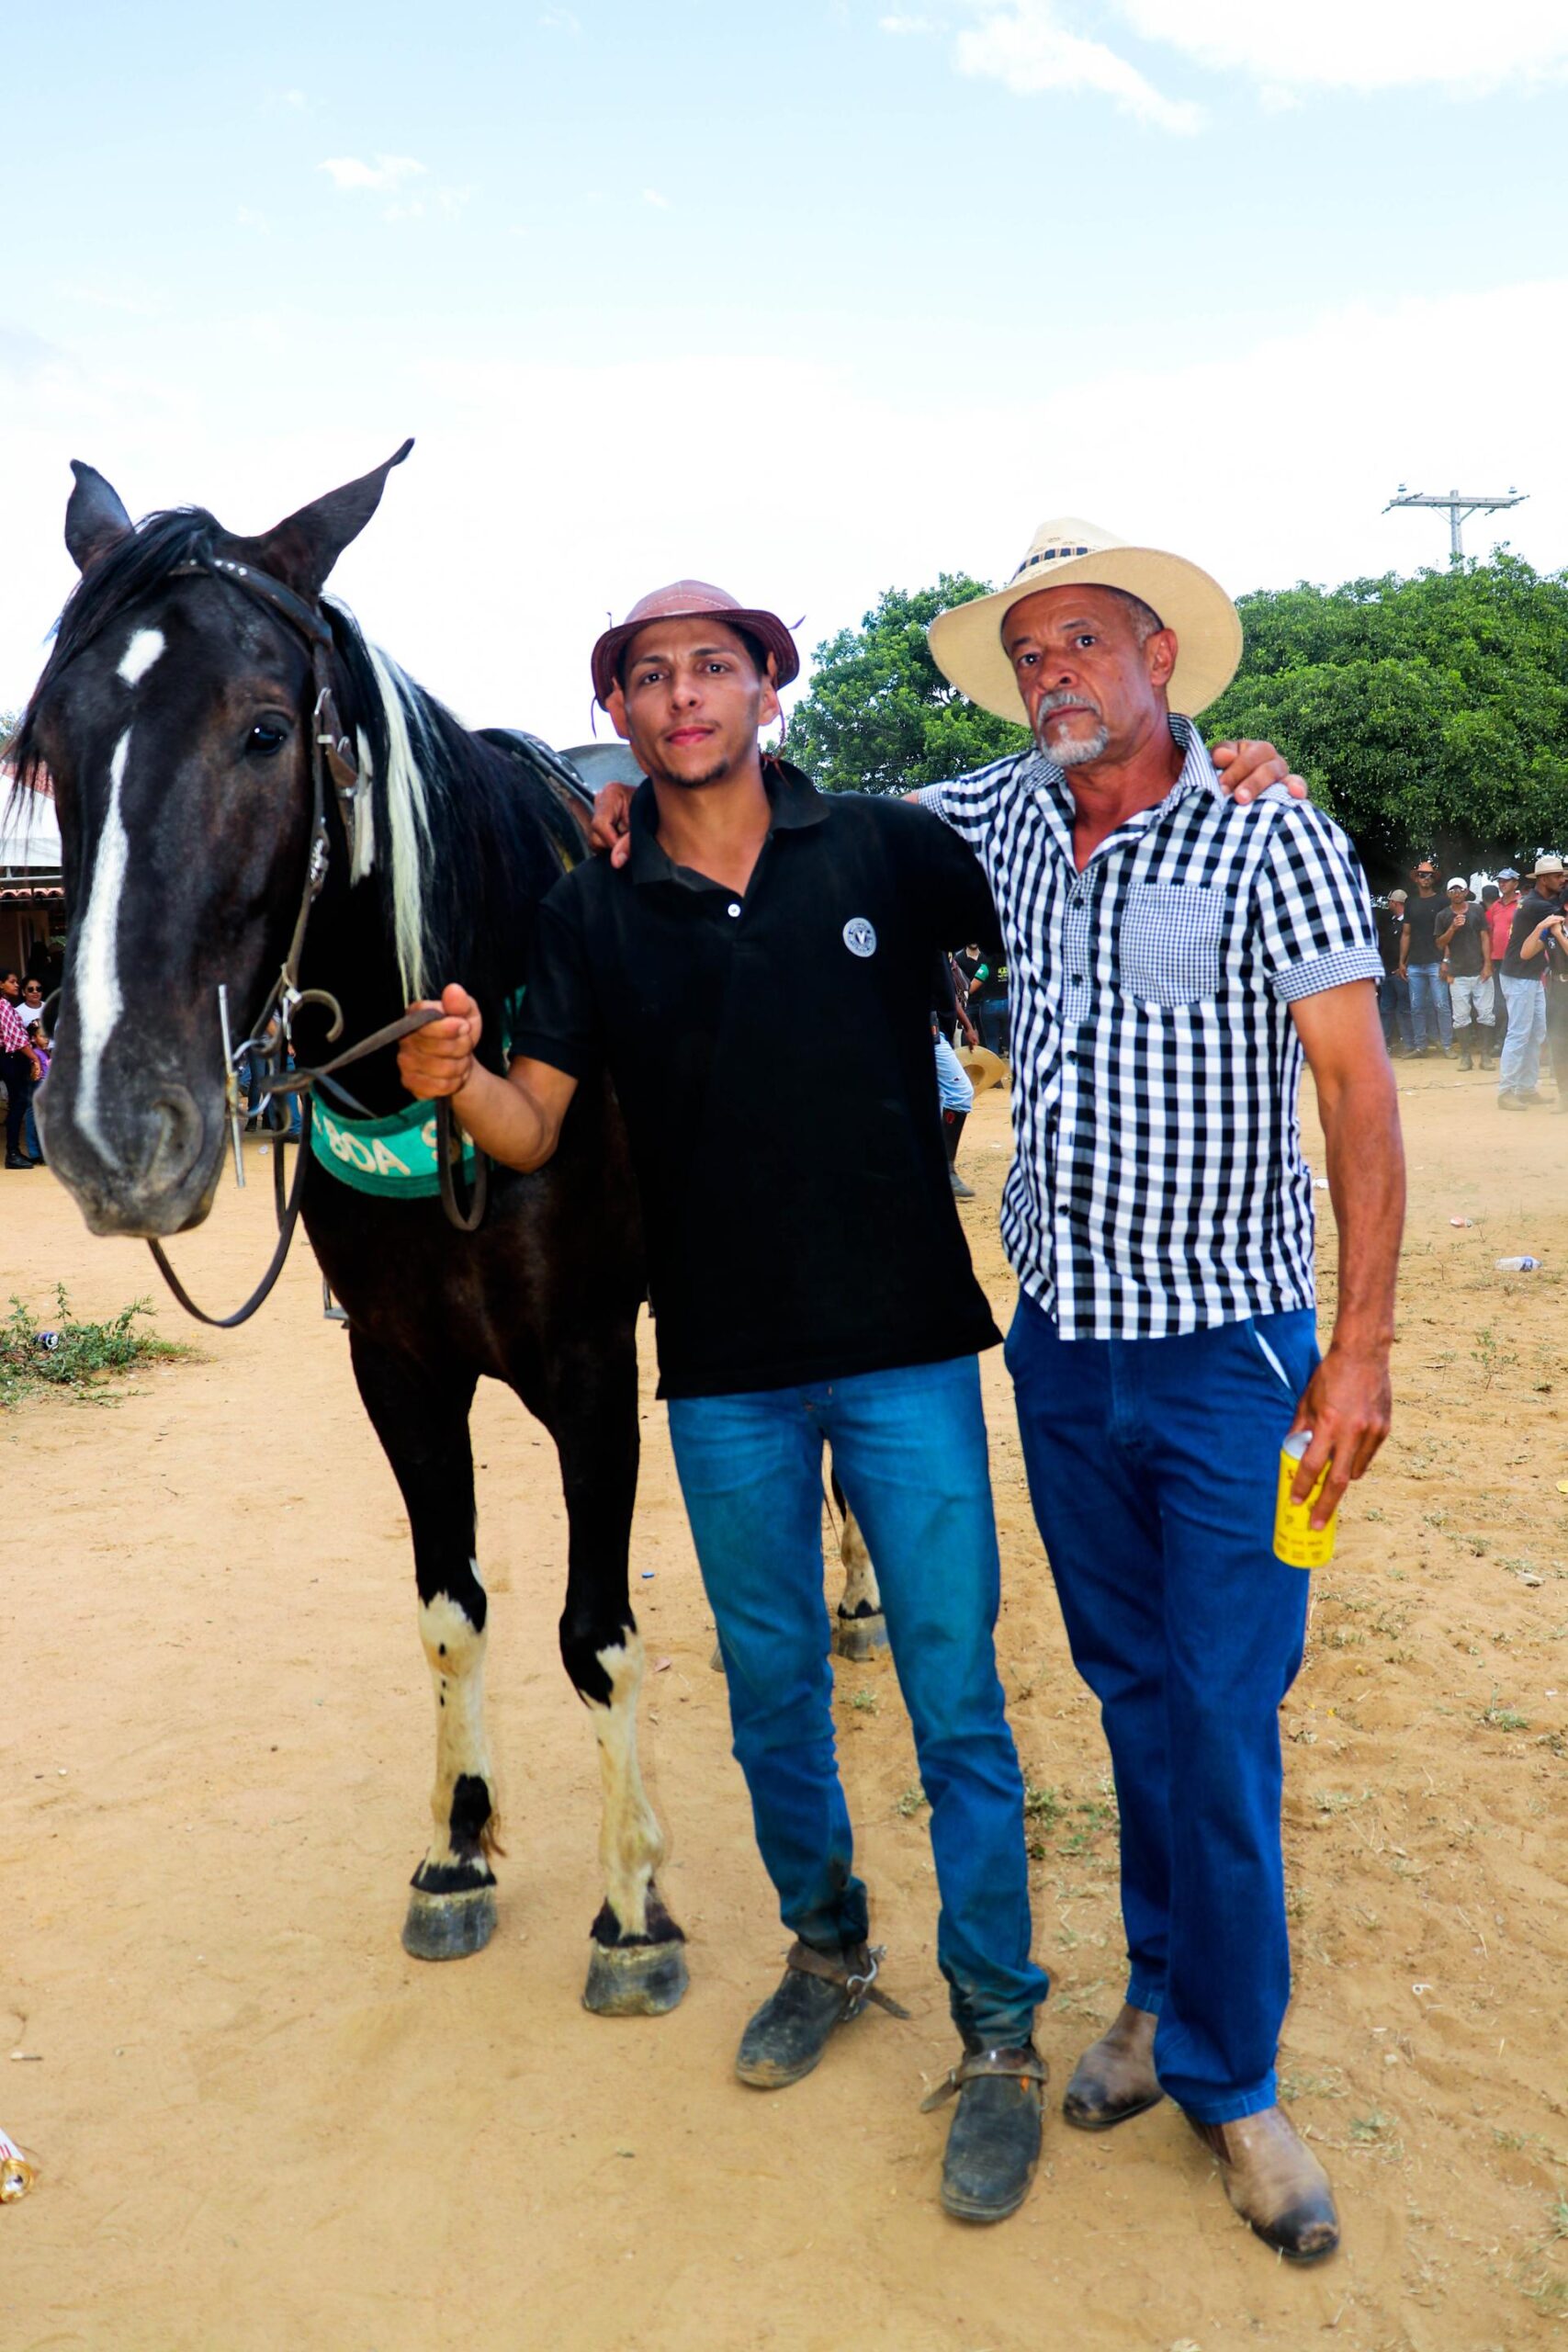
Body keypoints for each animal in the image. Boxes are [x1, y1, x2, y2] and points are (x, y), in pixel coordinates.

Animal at [11, 444, 688, 2015]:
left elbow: (595, 1635)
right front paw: (455, 1851)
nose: (110, 1122)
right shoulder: (399, 1368)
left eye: (266, 731)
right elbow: (451, 1607)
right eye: (49, 746)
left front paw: (632, 1905)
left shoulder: (588, 1364)